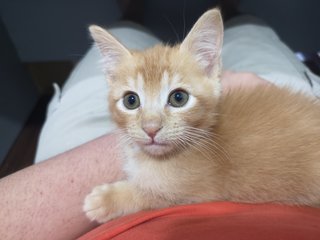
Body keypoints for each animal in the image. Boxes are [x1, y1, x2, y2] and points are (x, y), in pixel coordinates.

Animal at [84, 9, 320, 223]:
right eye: (130, 101)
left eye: (179, 98)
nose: (150, 128)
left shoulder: (196, 192)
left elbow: (149, 194)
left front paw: (105, 200)